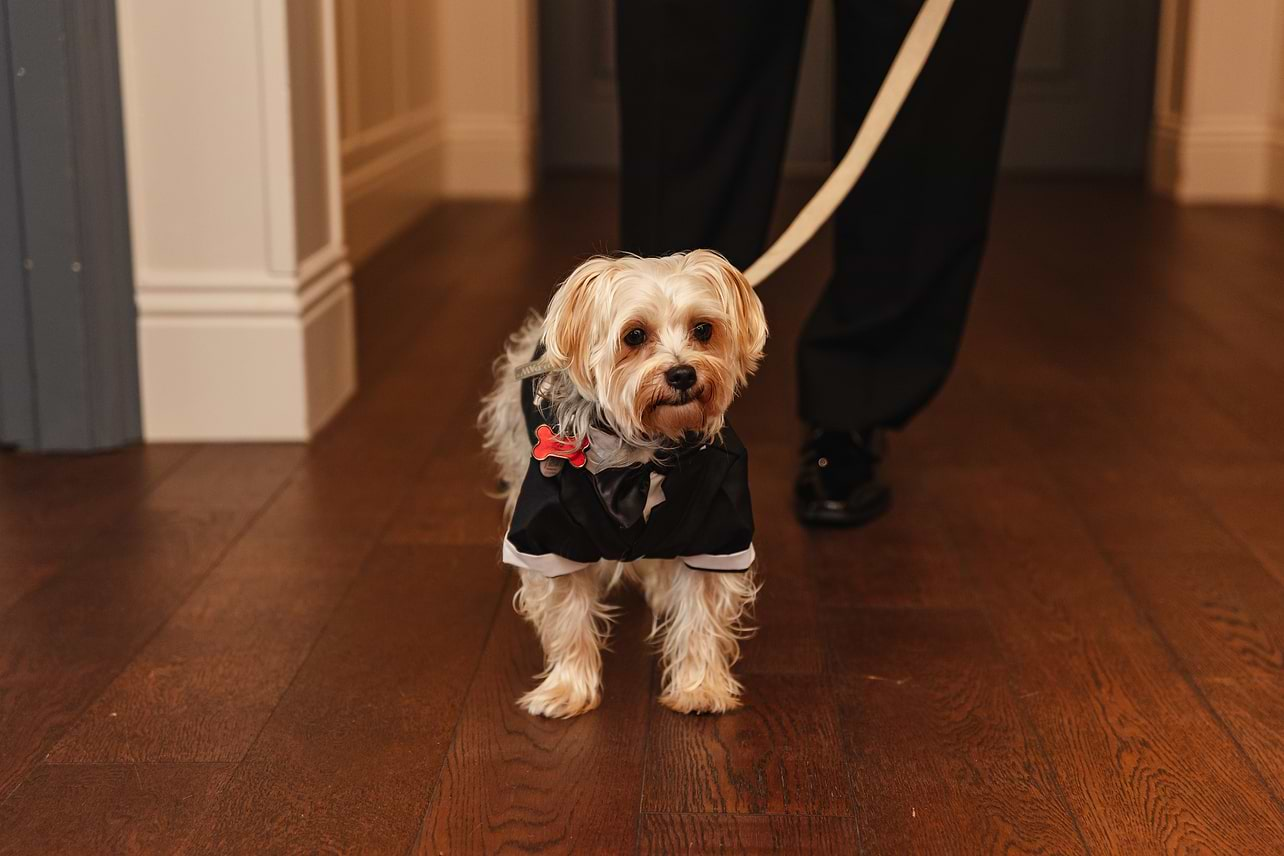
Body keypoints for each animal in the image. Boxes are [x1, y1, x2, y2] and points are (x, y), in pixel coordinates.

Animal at [480, 248, 760, 718]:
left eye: (703, 329)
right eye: (634, 336)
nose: (683, 374)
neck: (642, 456)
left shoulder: (716, 530)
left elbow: (701, 615)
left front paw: (700, 687)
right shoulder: (550, 536)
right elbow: (568, 618)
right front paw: (567, 688)